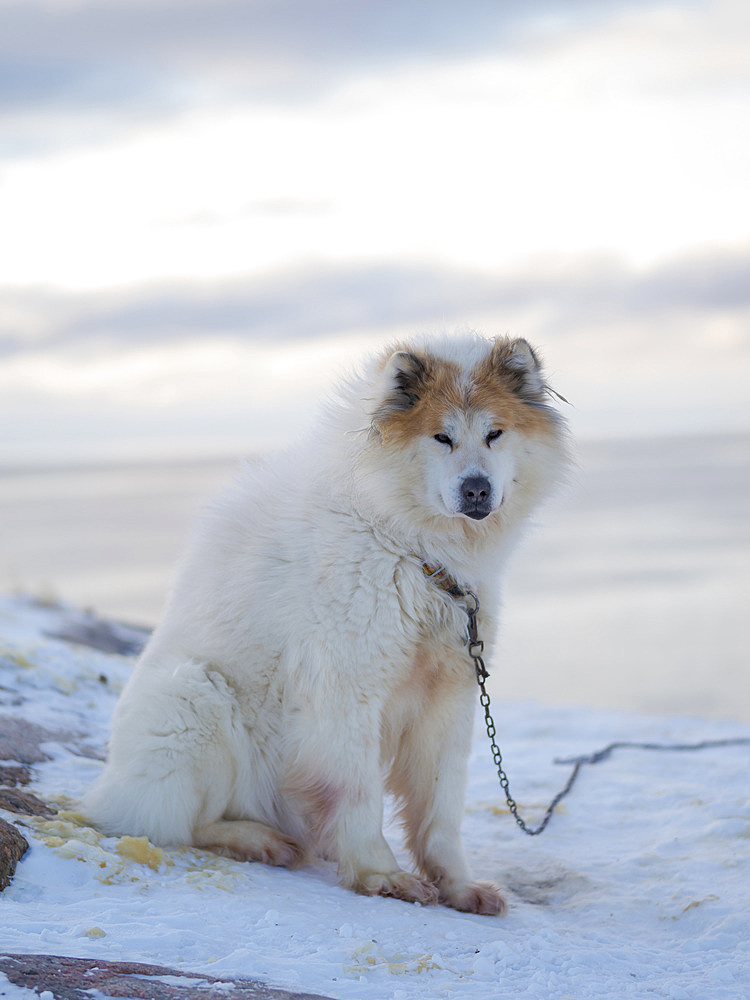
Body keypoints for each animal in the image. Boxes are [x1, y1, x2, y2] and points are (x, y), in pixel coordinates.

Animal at [83, 334, 568, 916]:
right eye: (442, 437)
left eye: (495, 433)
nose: (476, 489)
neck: (411, 549)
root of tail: (107, 790)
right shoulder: (345, 692)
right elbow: (359, 796)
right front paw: (382, 875)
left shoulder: (448, 698)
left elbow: (440, 808)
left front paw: (458, 887)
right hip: (195, 697)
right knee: (179, 823)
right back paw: (260, 841)